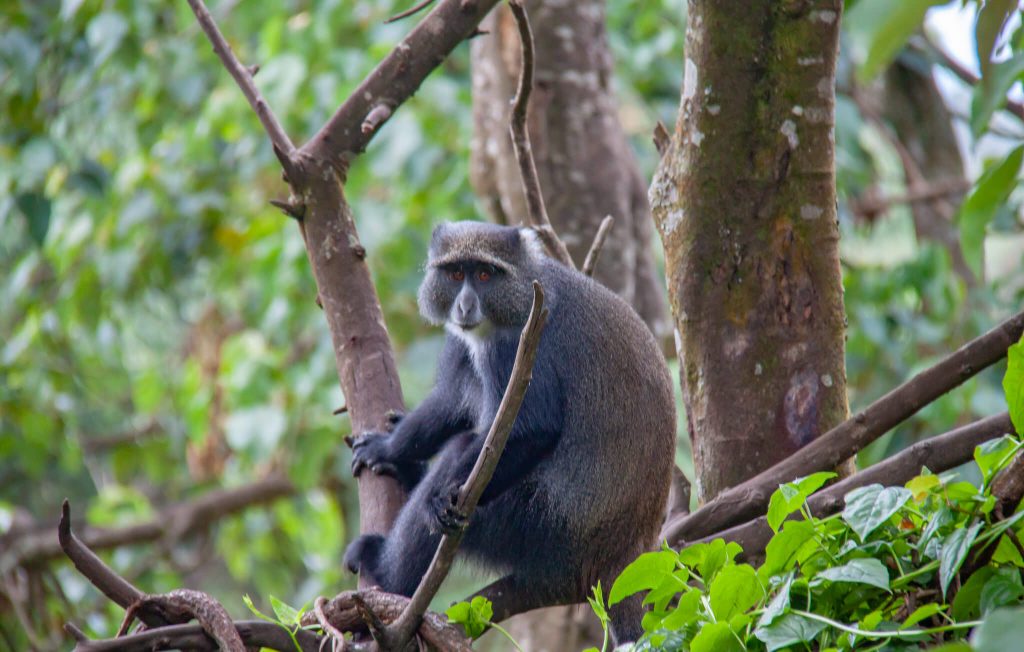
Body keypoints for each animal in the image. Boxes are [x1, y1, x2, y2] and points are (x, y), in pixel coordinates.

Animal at [344, 221, 675, 643]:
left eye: (486, 274)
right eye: (456, 274)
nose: (465, 307)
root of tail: (622, 552)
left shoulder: (519, 343)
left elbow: (533, 430)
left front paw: (435, 498)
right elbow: (452, 400)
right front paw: (388, 448)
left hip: (535, 526)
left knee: (463, 455)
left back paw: (388, 575)